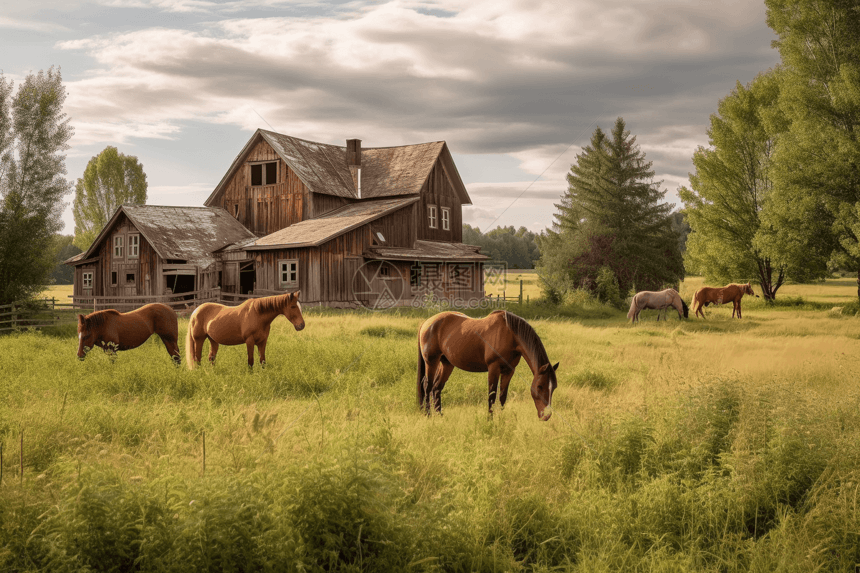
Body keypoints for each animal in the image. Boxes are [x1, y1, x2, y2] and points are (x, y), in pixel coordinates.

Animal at [414, 310, 556, 418]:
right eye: (540, 386)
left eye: (554, 387)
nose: (547, 415)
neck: (509, 334)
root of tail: (426, 323)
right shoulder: (493, 368)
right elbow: (491, 395)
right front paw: (490, 419)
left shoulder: (509, 371)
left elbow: (502, 396)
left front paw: (501, 419)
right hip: (431, 361)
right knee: (427, 386)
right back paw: (428, 415)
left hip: (447, 364)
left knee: (437, 387)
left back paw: (440, 415)